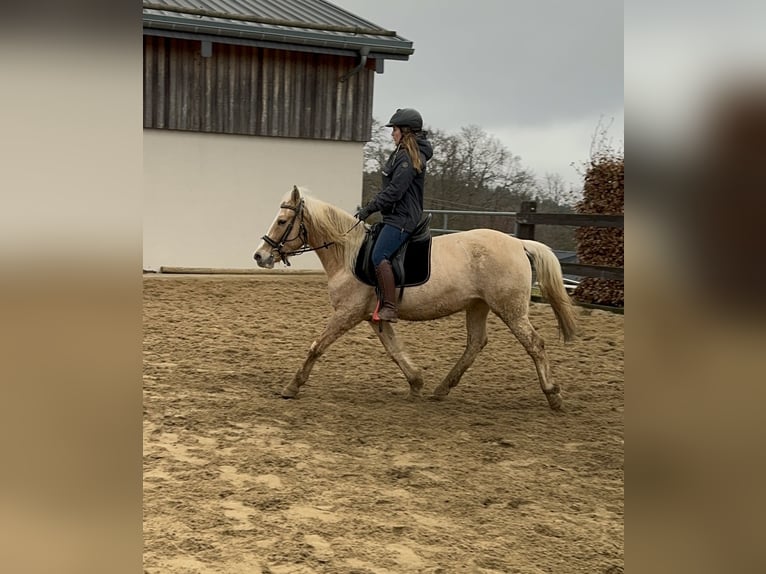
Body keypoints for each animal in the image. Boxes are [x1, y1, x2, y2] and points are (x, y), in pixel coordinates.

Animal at [255, 187, 580, 412]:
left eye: (282, 221)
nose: (260, 255)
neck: (349, 254)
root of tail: (518, 243)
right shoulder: (373, 317)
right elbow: (394, 350)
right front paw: (416, 383)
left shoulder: (346, 313)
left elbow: (317, 346)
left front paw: (292, 386)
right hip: (478, 306)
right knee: (476, 343)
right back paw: (441, 389)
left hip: (510, 309)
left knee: (534, 344)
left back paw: (554, 395)